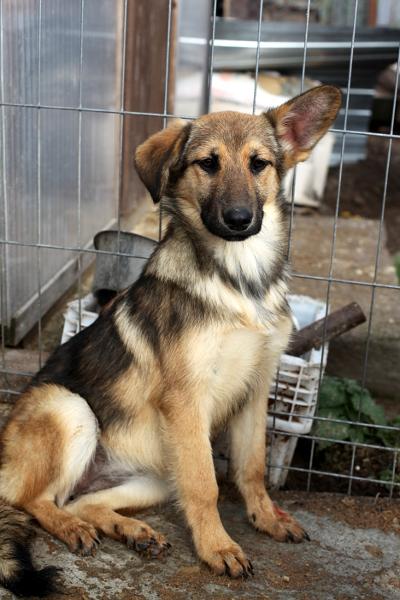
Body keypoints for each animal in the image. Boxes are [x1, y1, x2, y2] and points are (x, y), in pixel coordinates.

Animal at [0, 85, 341, 596]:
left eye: (259, 163)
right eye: (207, 163)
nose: (239, 219)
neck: (238, 277)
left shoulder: (257, 387)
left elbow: (251, 467)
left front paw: (266, 518)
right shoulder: (185, 399)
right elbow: (206, 485)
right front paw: (218, 548)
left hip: (155, 476)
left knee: (79, 500)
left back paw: (130, 530)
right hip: (70, 409)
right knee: (34, 500)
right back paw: (72, 528)